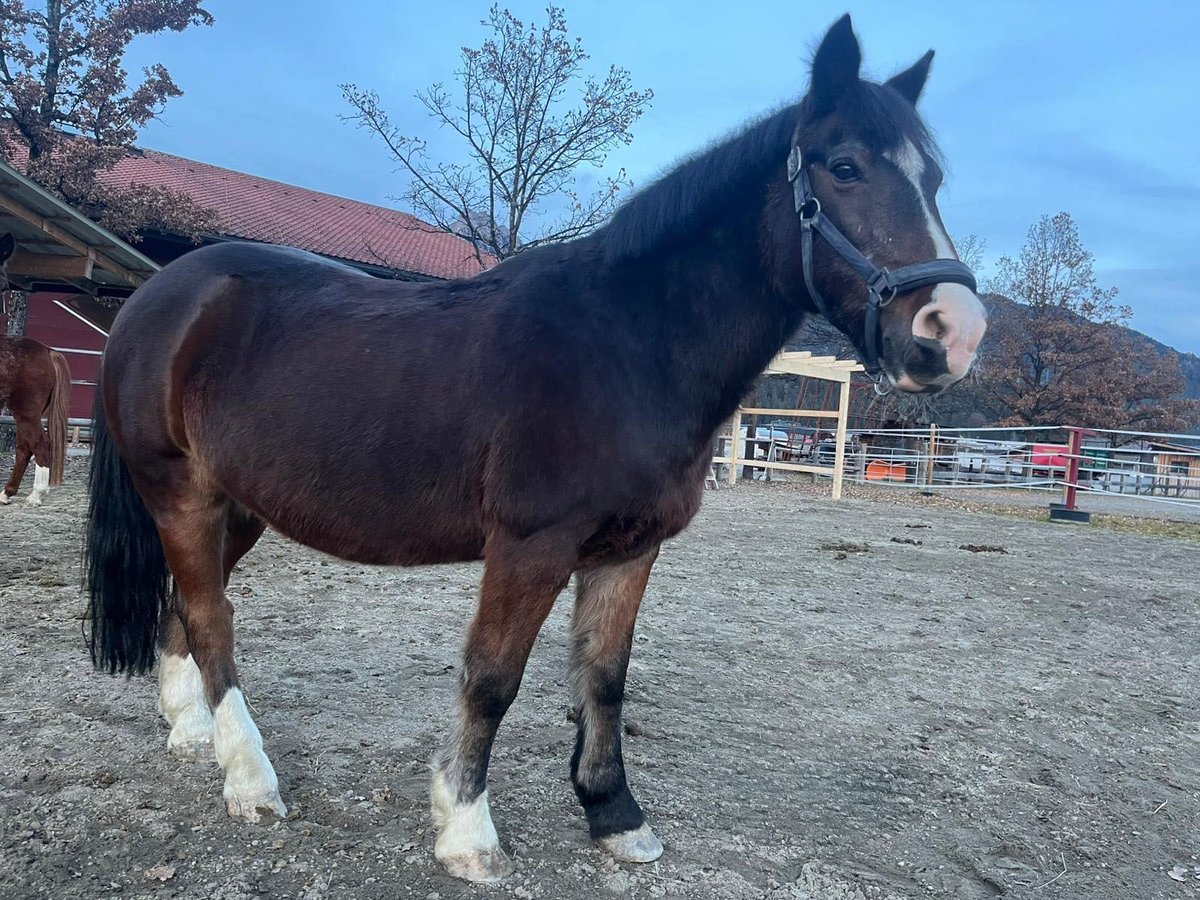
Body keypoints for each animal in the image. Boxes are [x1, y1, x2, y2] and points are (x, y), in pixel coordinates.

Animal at [0, 233, 72, 507]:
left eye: (3, 284)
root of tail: (48, 351)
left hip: (27, 410)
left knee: (39, 445)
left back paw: (35, 495)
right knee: (25, 447)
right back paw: (7, 493)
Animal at [84, 15, 986, 883]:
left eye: (935, 180)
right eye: (845, 167)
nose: (954, 332)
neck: (624, 347)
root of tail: (160, 295)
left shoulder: (629, 549)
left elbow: (603, 678)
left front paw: (615, 817)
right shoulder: (530, 547)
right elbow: (493, 680)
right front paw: (466, 833)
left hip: (240, 507)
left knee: (185, 611)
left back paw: (193, 736)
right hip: (181, 495)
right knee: (213, 621)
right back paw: (250, 779)